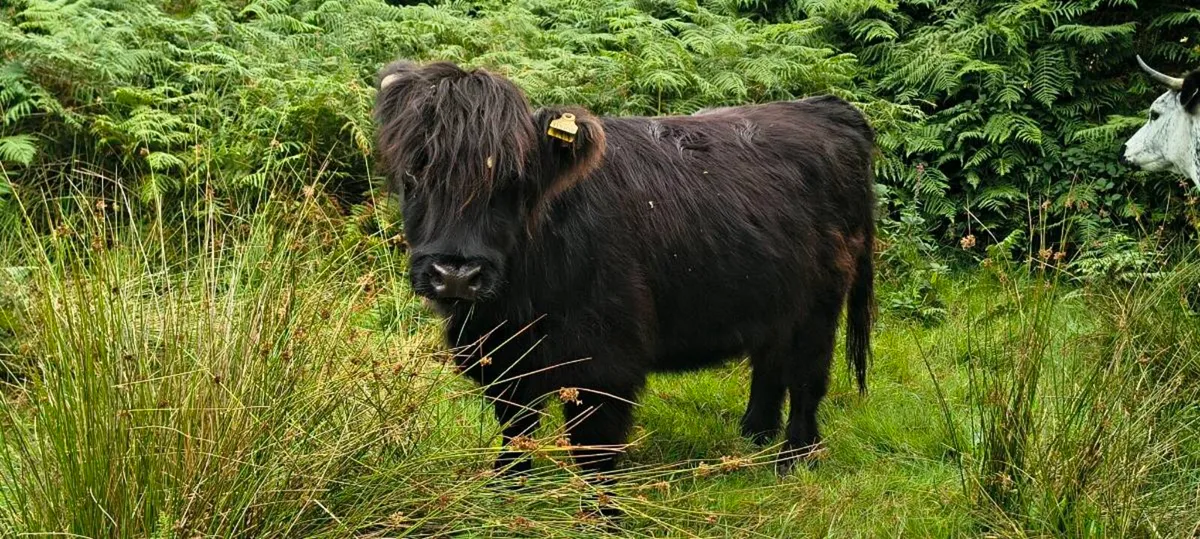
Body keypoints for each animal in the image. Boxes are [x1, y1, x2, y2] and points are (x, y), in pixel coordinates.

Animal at [372, 59, 877, 484]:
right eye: (413, 177)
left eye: (514, 183)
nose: (456, 274)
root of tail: (824, 107)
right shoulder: (502, 359)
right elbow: (516, 429)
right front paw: (506, 489)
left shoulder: (604, 365)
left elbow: (595, 453)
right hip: (773, 293)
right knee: (770, 361)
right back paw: (754, 435)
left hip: (820, 303)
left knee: (807, 376)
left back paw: (794, 459)